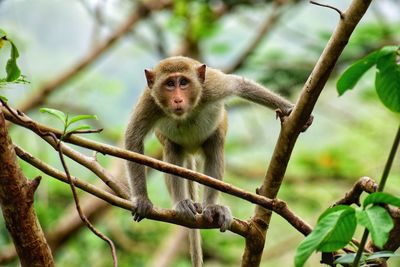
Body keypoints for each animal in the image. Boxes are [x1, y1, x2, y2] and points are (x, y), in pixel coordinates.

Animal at [125, 56, 312, 266]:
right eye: (169, 84)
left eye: (183, 82)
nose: (178, 99)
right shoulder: (149, 102)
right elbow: (133, 139)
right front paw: (142, 199)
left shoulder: (212, 87)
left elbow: (240, 85)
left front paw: (289, 109)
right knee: (172, 152)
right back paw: (183, 203)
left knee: (215, 147)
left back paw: (212, 208)